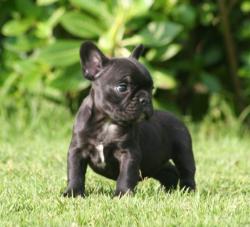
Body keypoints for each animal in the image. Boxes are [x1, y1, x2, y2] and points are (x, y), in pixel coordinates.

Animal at [62, 41, 195, 197]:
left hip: (183, 151)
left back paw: (188, 190)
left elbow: (126, 175)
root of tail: (176, 117)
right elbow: (75, 173)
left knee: (187, 171)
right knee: (168, 170)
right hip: (154, 162)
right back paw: (170, 190)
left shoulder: (129, 153)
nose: (145, 99)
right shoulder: (77, 150)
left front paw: (122, 194)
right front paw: (73, 193)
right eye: (122, 87)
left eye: (151, 88)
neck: (106, 122)